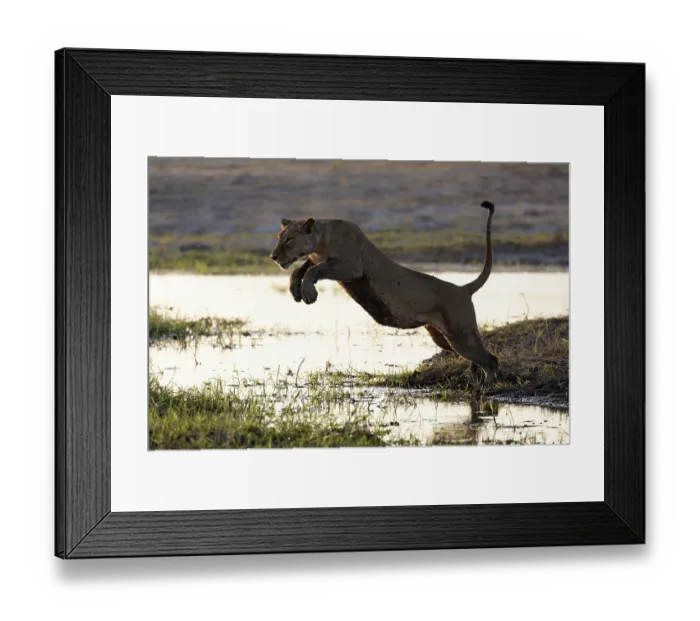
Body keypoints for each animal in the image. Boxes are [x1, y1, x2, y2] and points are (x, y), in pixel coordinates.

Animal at [269, 201, 499, 383]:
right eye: (279, 237)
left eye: (288, 240)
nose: (273, 256)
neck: (320, 241)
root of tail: (463, 289)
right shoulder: (317, 259)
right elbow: (299, 270)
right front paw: (295, 291)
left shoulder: (351, 267)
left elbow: (313, 270)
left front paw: (309, 294)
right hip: (443, 338)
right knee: (475, 358)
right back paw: (472, 376)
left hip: (460, 335)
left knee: (490, 359)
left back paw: (486, 386)